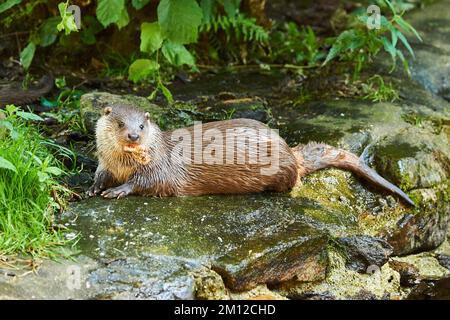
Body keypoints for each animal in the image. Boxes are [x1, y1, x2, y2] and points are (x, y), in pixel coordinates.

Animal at [87, 104, 414, 206]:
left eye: (142, 125)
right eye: (120, 123)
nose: (133, 135)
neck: (123, 165)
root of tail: (288, 150)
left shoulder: (159, 168)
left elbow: (145, 183)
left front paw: (118, 190)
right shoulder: (105, 163)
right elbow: (100, 174)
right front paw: (94, 187)